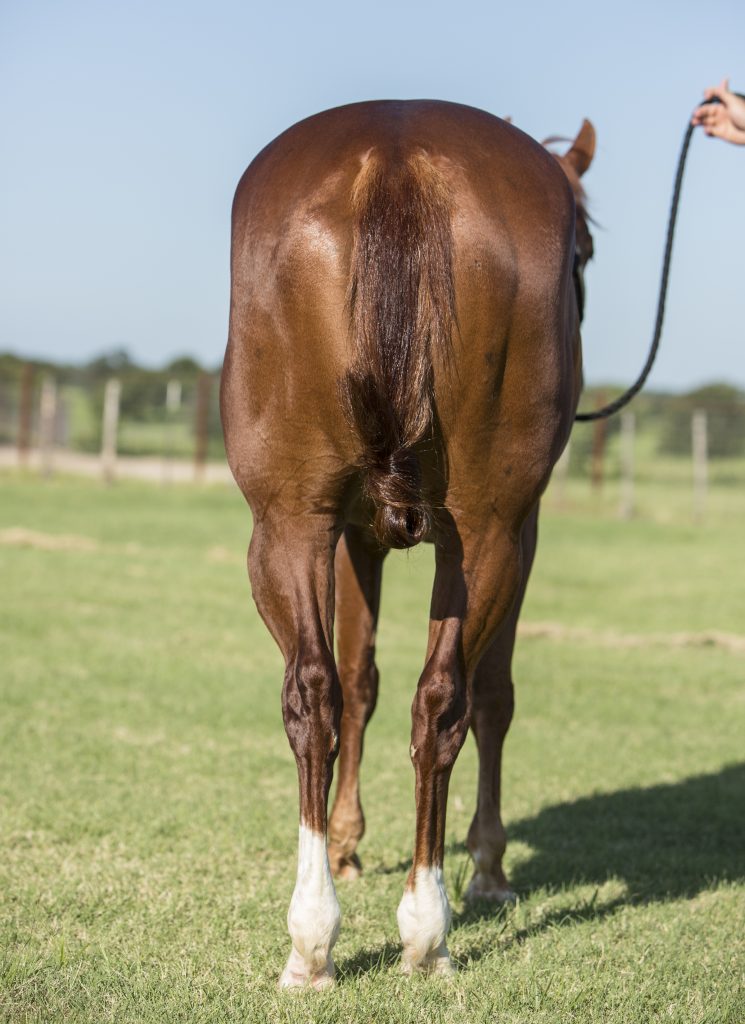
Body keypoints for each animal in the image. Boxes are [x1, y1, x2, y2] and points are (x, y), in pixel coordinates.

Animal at [220, 100, 595, 988]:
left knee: (313, 694)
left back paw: (313, 938)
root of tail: (396, 158)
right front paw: (487, 864)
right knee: (444, 699)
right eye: (584, 253)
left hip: (287, 524)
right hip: (486, 535)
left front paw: (346, 844)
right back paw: (427, 928)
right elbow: (491, 693)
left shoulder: (349, 535)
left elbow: (355, 680)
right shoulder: (520, 531)